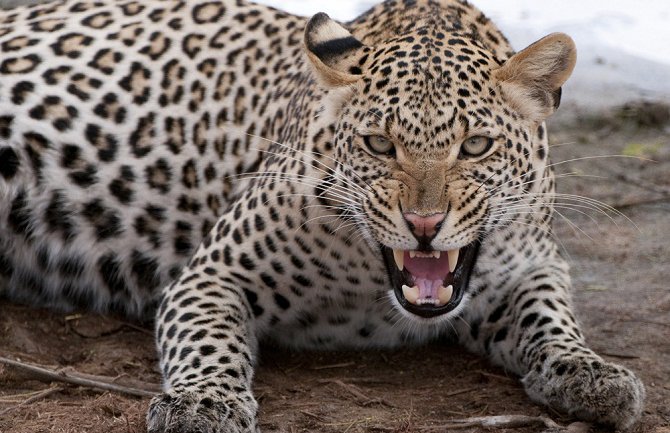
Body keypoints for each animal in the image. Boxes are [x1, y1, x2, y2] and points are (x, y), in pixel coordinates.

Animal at [0, 0, 645, 431]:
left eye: (476, 146)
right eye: (379, 145)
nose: (425, 224)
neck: (370, 289)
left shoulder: (535, 266)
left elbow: (552, 320)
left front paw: (591, 373)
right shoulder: (212, 274)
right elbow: (208, 338)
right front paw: (204, 403)